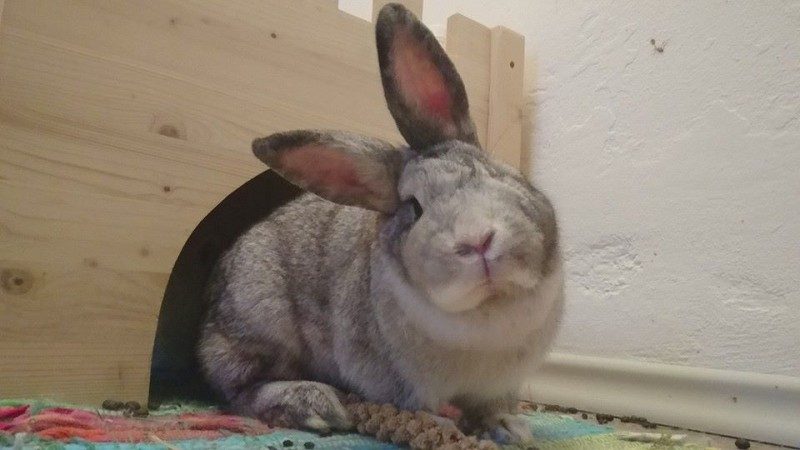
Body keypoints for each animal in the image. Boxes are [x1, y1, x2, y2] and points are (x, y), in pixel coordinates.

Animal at [198, 3, 563, 445]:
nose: (477, 241)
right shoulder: (400, 382)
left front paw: (510, 429)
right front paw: (441, 428)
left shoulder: (498, 386)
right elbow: (420, 407)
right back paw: (314, 405)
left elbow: (492, 407)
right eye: (414, 208)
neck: (488, 310)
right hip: (260, 318)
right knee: (238, 388)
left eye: (488, 172)